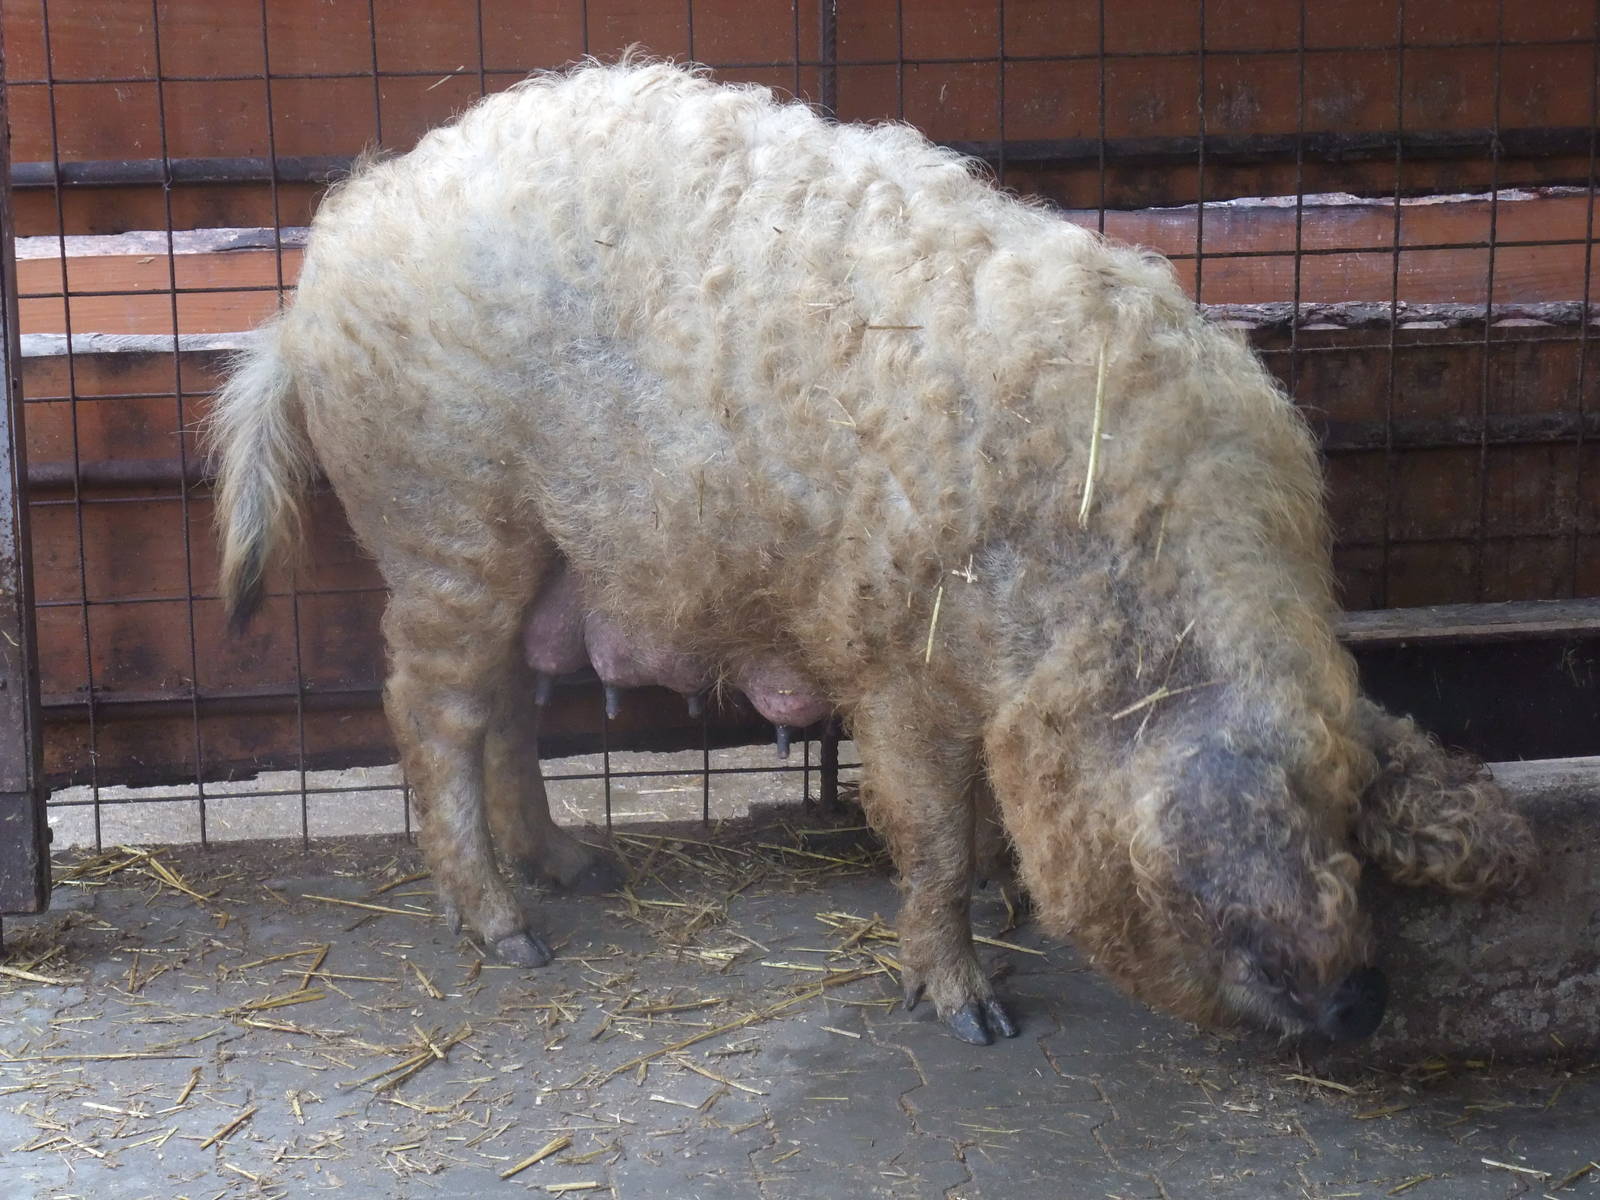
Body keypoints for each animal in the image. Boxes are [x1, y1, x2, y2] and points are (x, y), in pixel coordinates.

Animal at [210, 60, 1534, 1045]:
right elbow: (929, 829)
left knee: (511, 710)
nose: (1362, 1002)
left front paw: (1003, 897)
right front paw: (974, 1012)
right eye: (1224, 842)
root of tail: (311, 292)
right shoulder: (895, 653)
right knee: (431, 710)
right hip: (446, 515)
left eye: (1343, 809)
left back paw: (577, 871)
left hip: (536, 551)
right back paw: (511, 937)